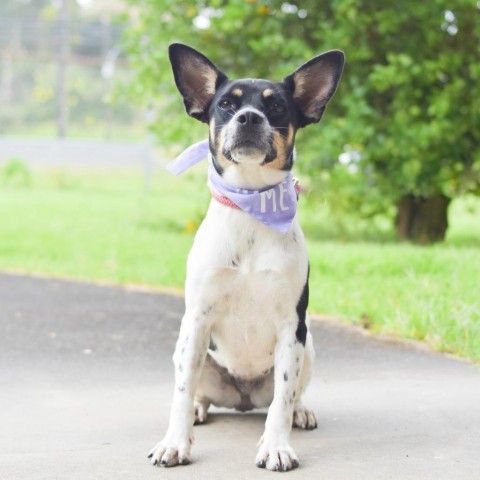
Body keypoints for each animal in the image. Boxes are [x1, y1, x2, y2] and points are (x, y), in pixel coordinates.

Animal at [148, 43, 344, 470]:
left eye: (278, 107)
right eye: (226, 104)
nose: (250, 117)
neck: (252, 208)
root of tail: (241, 396)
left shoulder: (292, 327)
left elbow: (281, 403)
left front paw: (276, 446)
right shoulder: (197, 320)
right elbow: (181, 394)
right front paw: (175, 442)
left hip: (308, 346)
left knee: (286, 397)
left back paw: (301, 412)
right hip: (187, 348)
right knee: (196, 390)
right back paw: (199, 410)